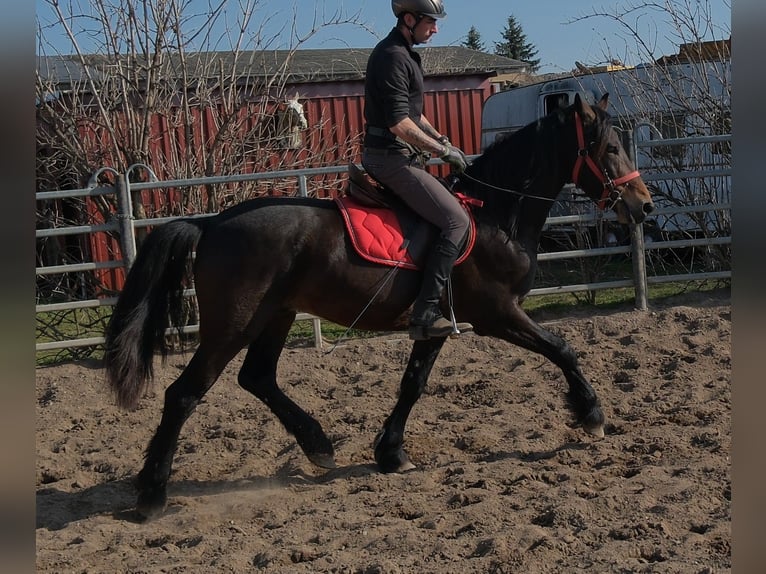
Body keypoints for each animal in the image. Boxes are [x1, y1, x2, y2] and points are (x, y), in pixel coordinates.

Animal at [104, 93, 654, 520]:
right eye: (609, 148)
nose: (643, 206)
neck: (495, 216)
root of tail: (212, 223)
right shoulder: (497, 315)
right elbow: (562, 348)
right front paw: (591, 413)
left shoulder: (435, 324)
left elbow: (413, 383)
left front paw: (391, 453)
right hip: (231, 325)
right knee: (183, 394)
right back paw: (152, 495)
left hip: (275, 316)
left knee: (257, 378)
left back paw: (318, 446)